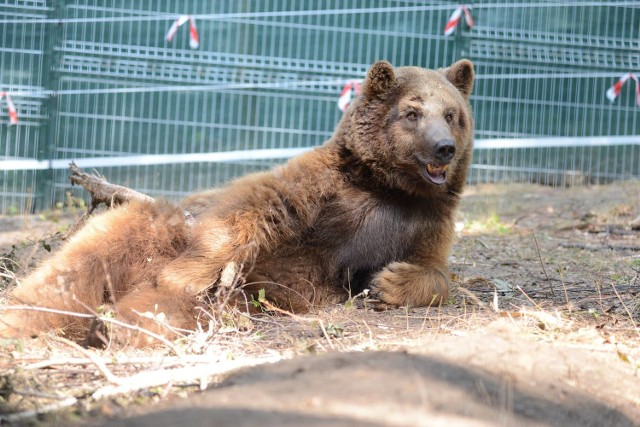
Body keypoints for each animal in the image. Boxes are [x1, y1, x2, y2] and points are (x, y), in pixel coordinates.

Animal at [0, 59, 470, 348]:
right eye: (412, 112)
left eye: (452, 114)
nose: (444, 148)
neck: (390, 187)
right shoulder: (325, 190)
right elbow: (255, 203)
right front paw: (185, 273)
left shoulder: (424, 222)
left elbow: (434, 270)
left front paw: (388, 281)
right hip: (150, 235)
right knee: (80, 267)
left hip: (229, 300)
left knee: (162, 308)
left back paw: (121, 326)